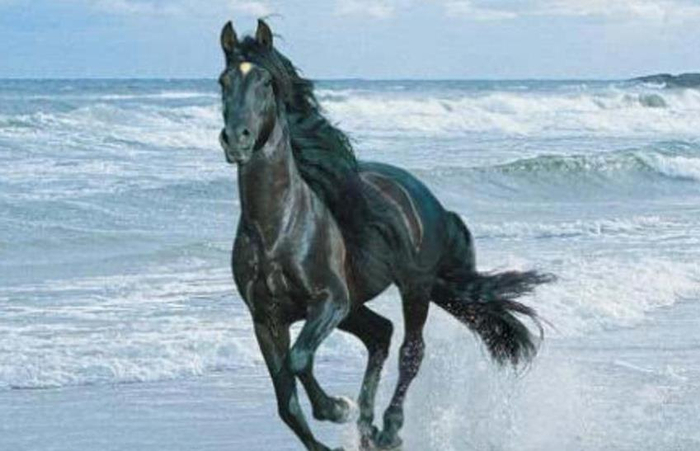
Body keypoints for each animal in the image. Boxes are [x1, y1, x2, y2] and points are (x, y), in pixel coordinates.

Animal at [217, 19, 552, 451]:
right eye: (223, 81)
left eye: (264, 82)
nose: (236, 139)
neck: (278, 229)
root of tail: (427, 199)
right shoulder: (266, 319)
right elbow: (286, 402)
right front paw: (335, 429)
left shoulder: (330, 301)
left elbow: (299, 360)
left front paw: (336, 408)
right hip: (358, 305)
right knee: (380, 334)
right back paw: (369, 429)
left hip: (413, 287)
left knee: (411, 350)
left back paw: (389, 428)